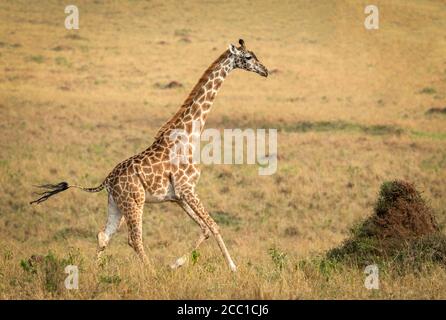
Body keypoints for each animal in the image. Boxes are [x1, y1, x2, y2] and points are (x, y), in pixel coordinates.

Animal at [32, 38, 268, 272]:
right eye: (248, 57)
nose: (265, 71)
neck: (189, 133)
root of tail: (106, 181)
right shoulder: (187, 189)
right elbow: (214, 226)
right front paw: (233, 268)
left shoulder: (178, 196)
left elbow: (205, 228)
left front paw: (176, 263)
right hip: (135, 201)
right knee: (133, 239)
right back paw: (152, 273)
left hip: (116, 204)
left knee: (104, 235)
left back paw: (94, 272)